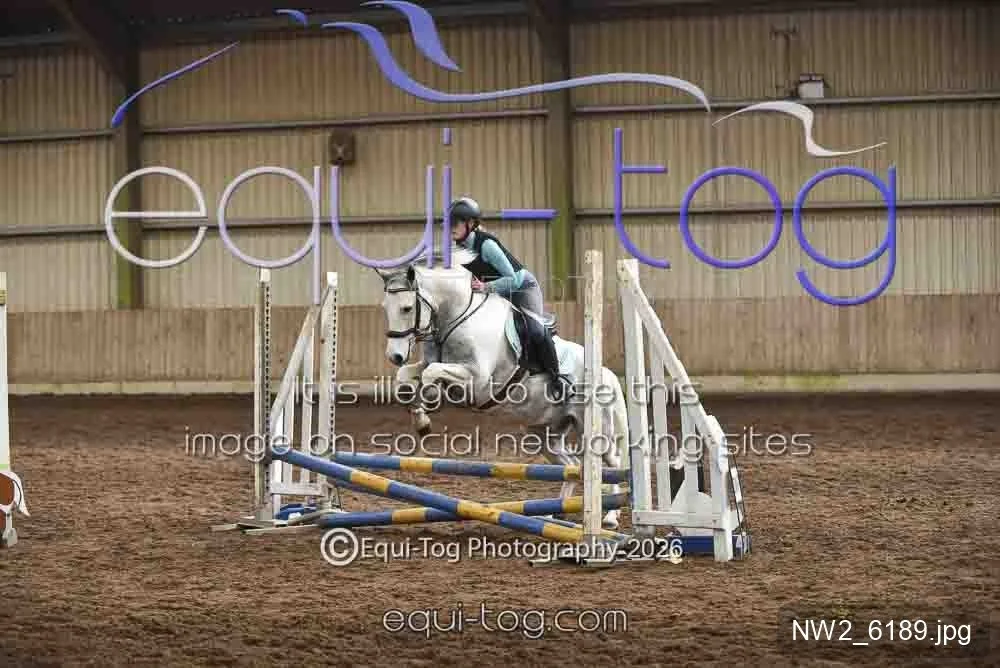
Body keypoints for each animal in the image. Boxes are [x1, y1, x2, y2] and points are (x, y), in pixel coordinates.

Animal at [374, 251, 630, 529]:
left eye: (407, 308)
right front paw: (421, 419)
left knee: (613, 463)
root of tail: (606, 373)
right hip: (545, 435)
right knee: (572, 465)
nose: (395, 356)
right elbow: (407, 376)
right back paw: (553, 514)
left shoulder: (477, 381)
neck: (457, 317)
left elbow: (431, 375)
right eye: (385, 307)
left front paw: (430, 400)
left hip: (598, 432)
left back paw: (610, 517)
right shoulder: (435, 366)